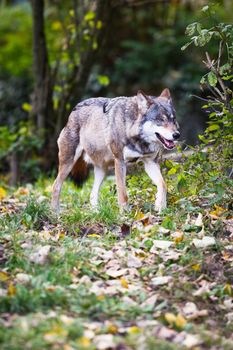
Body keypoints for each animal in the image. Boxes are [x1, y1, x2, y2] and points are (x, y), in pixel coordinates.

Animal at [51, 88, 180, 213]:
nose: (177, 135)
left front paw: (161, 207)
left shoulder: (150, 163)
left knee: (92, 195)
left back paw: (97, 213)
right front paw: (124, 214)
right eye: (160, 120)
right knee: (55, 186)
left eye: (173, 120)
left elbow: (163, 185)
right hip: (68, 163)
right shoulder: (119, 161)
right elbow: (123, 193)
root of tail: (74, 110)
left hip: (102, 170)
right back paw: (55, 213)